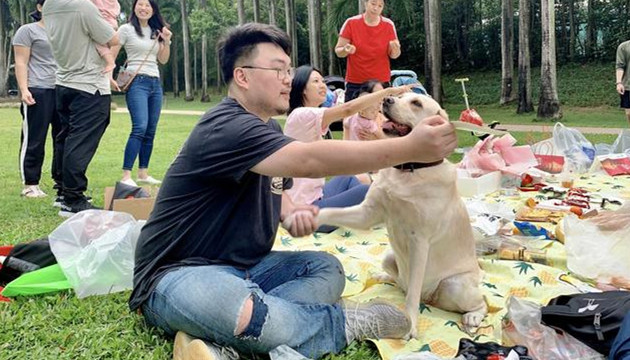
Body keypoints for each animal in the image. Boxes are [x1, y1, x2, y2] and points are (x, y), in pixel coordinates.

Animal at [320, 92, 488, 338]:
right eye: (400, 96)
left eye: (416, 103)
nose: (386, 99)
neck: (409, 169)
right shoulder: (367, 213)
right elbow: (331, 211)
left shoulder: (419, 241)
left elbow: (413, 294)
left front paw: (410, 324)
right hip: (388, 256)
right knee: (400, 282)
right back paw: (385, 278)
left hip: (454, 285)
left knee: (481, 301)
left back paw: (472, 316)